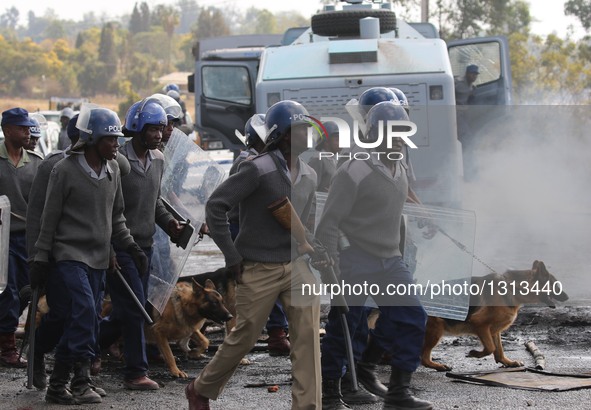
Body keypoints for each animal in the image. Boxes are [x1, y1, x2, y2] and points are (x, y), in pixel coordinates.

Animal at [420, 262, 568, 374]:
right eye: (555, 284)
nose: (567, 297)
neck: (512, 288)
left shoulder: (494, 330)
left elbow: (499, 351)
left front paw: (509, 362)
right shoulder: (480, 325)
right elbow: (491, 347)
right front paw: (475, 353)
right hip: (436, 330)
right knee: (424, 358)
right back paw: (439, 366)